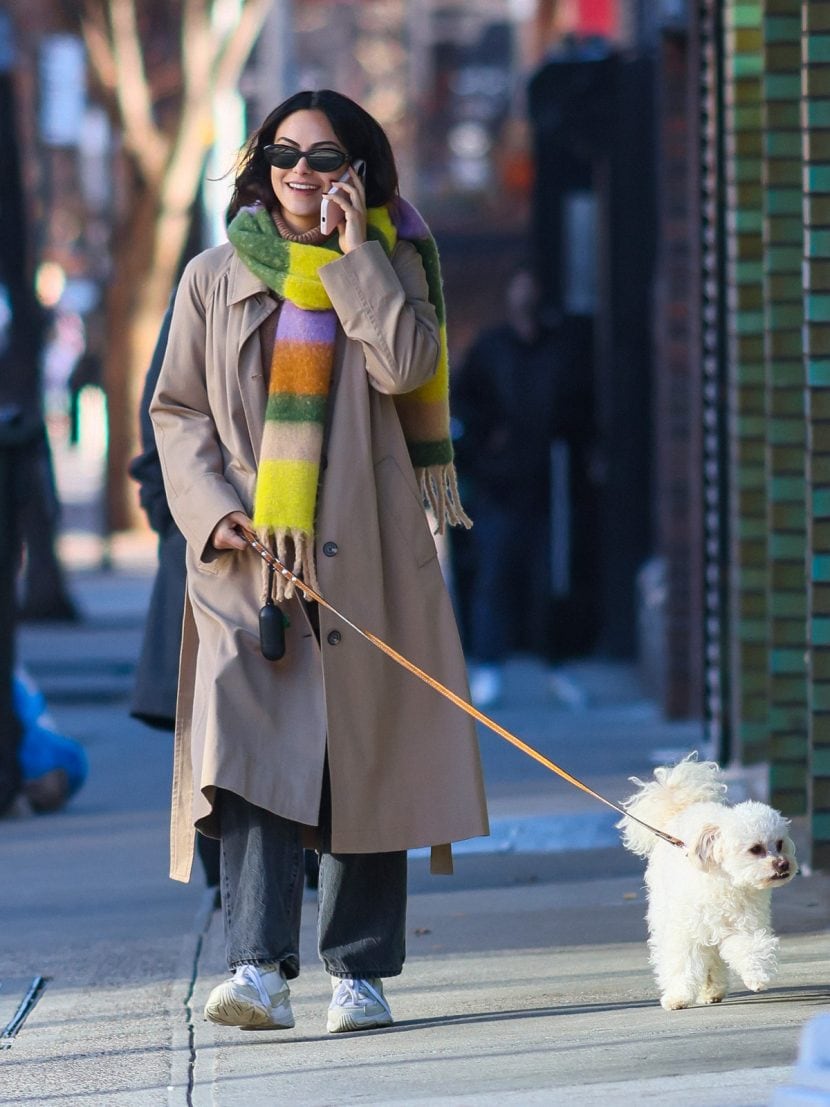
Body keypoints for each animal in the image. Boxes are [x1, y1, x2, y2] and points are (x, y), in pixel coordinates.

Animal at [619, 757, 796, 1009]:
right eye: (755, 849)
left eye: (780, 844)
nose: (783, 864)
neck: (728, 883)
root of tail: (682, 808)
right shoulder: (686, 930)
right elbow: (683, 961)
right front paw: (678, 996)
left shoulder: (741, 926)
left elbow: (749, 947)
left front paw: (757, 974)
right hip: (666, 913)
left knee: (713, 959)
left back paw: (712, 989)